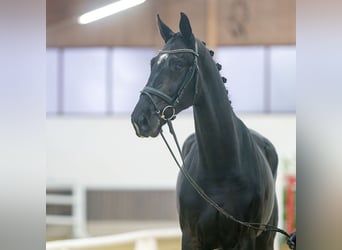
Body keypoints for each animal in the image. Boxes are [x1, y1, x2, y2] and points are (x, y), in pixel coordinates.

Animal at [131, 13, 278, 250]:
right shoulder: (191, 237)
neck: (220, 168)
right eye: (153, 63)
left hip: (266, 238)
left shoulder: (244, 239)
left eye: (178, 64)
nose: (140, 119)